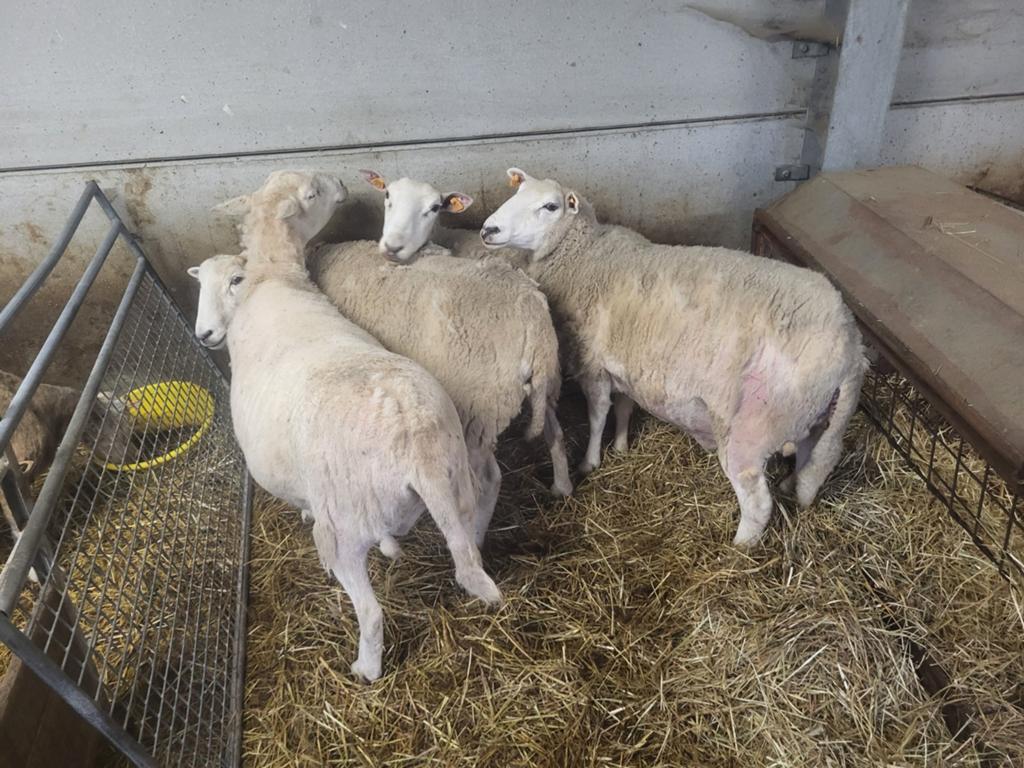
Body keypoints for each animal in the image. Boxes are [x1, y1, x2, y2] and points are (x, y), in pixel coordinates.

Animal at [194, 171, 500, 681]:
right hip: (456, 481)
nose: (340, 181)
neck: (273, 278)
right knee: (465, 547)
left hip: (346, 528)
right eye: (313, 193)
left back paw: (365, 668)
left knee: (371, 612)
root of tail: (415, 440)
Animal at [351, 170, 571, 503]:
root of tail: (533, 316)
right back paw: (562, 487)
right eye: (387, 195)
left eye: (434, 208)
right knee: (556, 433)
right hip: (545, 382)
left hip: (479, 407)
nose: (393, 247)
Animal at [480, 168, 866, 546]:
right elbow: (624, 407)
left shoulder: (593, 364)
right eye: (516, 193)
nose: (488, 229)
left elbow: (597, 415)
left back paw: (739, 548)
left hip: (755, 425)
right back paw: (791, 486)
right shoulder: (626, 365)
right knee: (813, 456)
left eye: (550, 206)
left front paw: (590, 461)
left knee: (757, 501)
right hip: (815, 414)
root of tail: (851, 345)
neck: (586, 255)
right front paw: (622, 445)